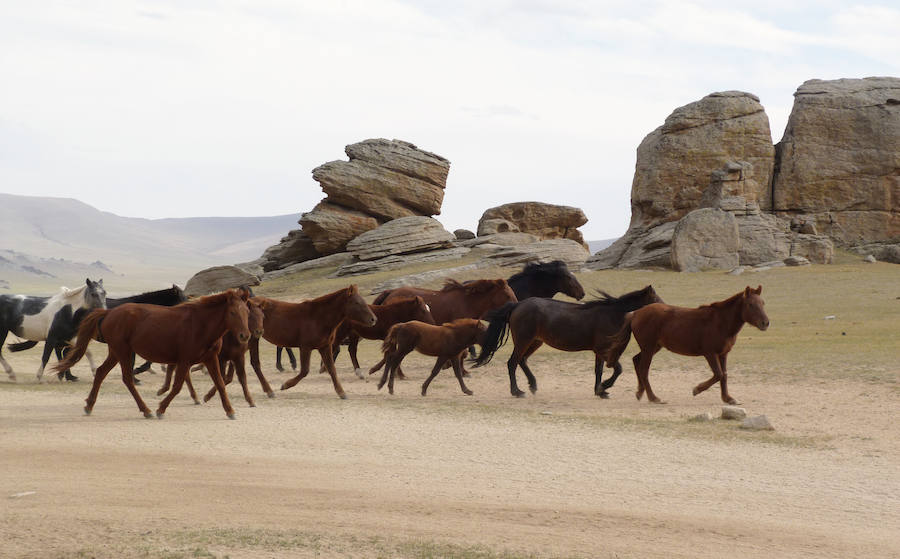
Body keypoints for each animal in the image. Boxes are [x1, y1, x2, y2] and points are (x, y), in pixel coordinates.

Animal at [8, 284, 186, 380]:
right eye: (183, 298)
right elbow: (138, 360)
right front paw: (137, 374)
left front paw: (137, 374)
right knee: (61, 351)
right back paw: (66, 375)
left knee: (63, 351)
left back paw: (68, 375)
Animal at [54, 288, 251, 420]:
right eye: (232, 312)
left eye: (247, 311)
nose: (245, 335)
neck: (200, 324)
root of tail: (109, 312)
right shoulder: (185, 360)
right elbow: (177, 386)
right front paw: (161, 409)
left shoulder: (210, 358)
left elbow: (220, 383)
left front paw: (230, 411)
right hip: (123, 351)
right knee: (127, 378)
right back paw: (146, 410)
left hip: (116, 352)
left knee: (102, 372)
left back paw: (89, 405)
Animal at [472, 286, 660, 400]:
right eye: (657, 299)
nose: (665, 308)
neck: (612, 313)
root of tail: (517, 305)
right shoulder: (603, 350)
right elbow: (618, 369)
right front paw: (604, 387)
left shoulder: (599, 352)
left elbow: (598, 370)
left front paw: (600, 391)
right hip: (523, 340)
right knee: (512, 362)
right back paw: (517, 391)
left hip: (535, 342)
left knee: (522, 361)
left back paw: (533, 385)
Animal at [604, 286, 768, 404]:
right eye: (751, 304)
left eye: (763, 303)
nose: (765, 323)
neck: (720, 322)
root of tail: (636, 313)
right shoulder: (710, 353)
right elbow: (718, 374)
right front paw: (697, 389)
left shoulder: (723, 354)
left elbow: (724, 375)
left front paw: (728, 398)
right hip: (649, 348)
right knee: (644, 369)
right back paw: (654, 398)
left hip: (653, 347)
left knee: (637, 361)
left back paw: (640, 392)